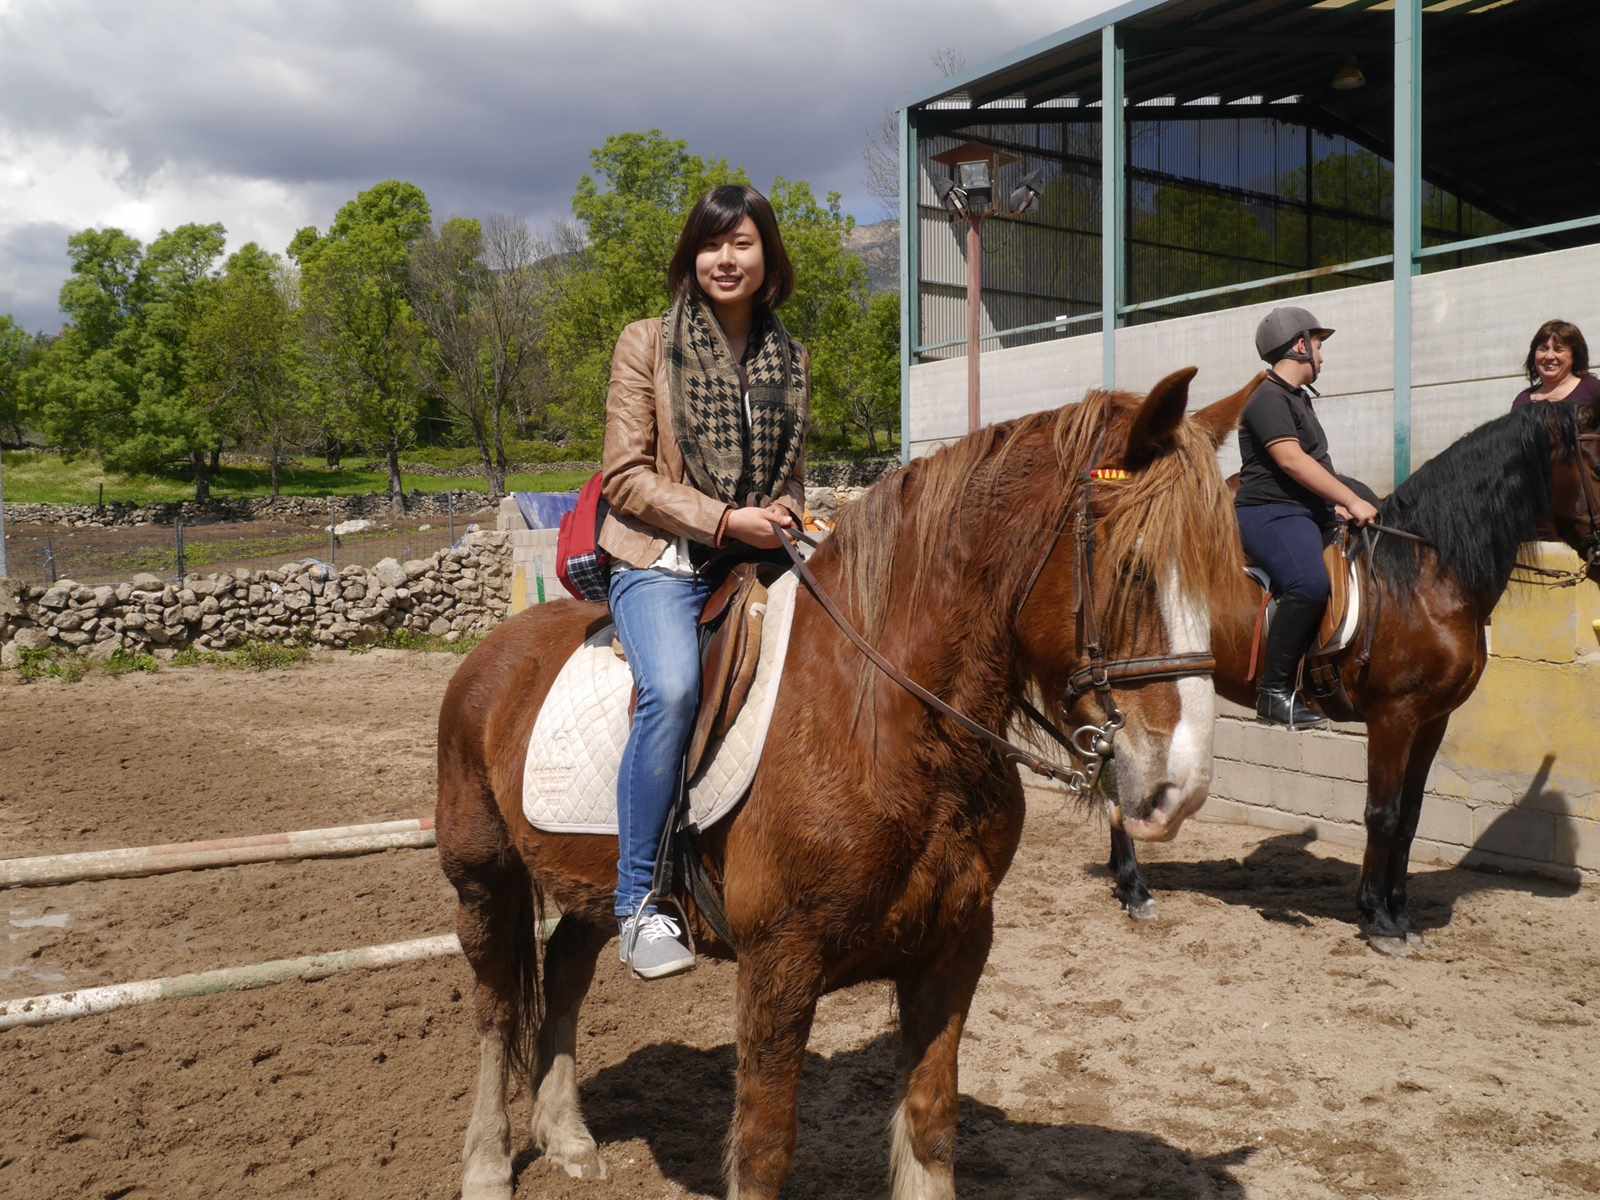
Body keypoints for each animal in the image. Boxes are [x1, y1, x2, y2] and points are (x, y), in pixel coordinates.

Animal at [435, 369, 1248, 1200]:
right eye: (1133, 568)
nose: (1180, 785)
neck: (887, 724)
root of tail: (491, 654)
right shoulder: (778, 968)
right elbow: (764, 1151)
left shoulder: (955, 949)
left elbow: (931, 1126)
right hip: (483, 878)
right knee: (495, 1007)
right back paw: (487, 1162)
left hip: (590, 883)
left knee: (567, 968)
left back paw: (567, 1137)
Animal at [1100, 400, 1600, 953]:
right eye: (1598, 463)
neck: (1424, 577)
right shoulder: (1393, 716)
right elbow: (1381, 813)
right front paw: (1378, 919)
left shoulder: (1433, 720)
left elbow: (1409, 815)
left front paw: (1399, 910)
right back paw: (1135, 887)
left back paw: (1127, 879)